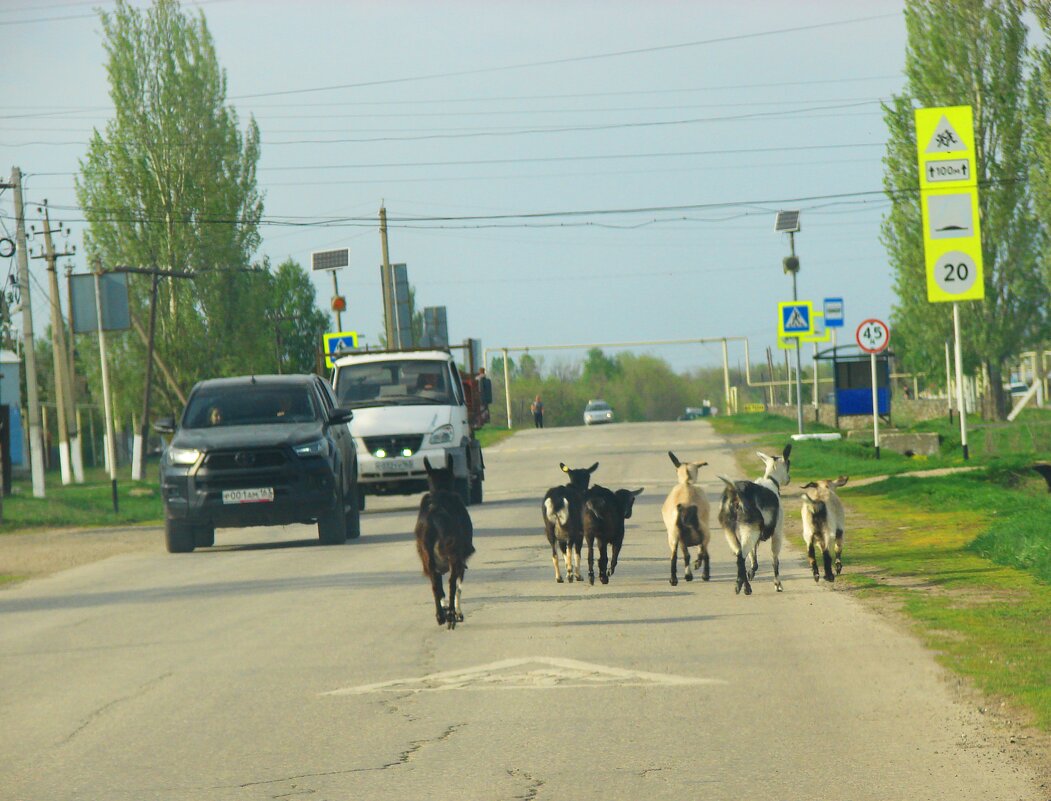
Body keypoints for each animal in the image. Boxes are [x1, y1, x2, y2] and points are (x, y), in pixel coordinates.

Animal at [414, 452, 477, 626]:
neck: (440, 490)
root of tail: (434, 516)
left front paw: (446, 609)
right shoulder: (462, 558)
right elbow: (458, 587)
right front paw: (458, 613)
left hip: (426, 556)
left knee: (435, 584)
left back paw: (441, 616)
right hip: (453, 554)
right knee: (451, 583)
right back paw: (451, 616)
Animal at [660, 449, 710, 588]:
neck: (686, 482)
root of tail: (687, 507)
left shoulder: (681, 539)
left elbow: (686, 555)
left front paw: (689, 575)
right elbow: (693, 554)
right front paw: (694, 574)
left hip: (673, 537)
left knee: (674, 557)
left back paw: (673, 580)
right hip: (703, 532)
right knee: (702, 552)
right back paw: (701, 570)